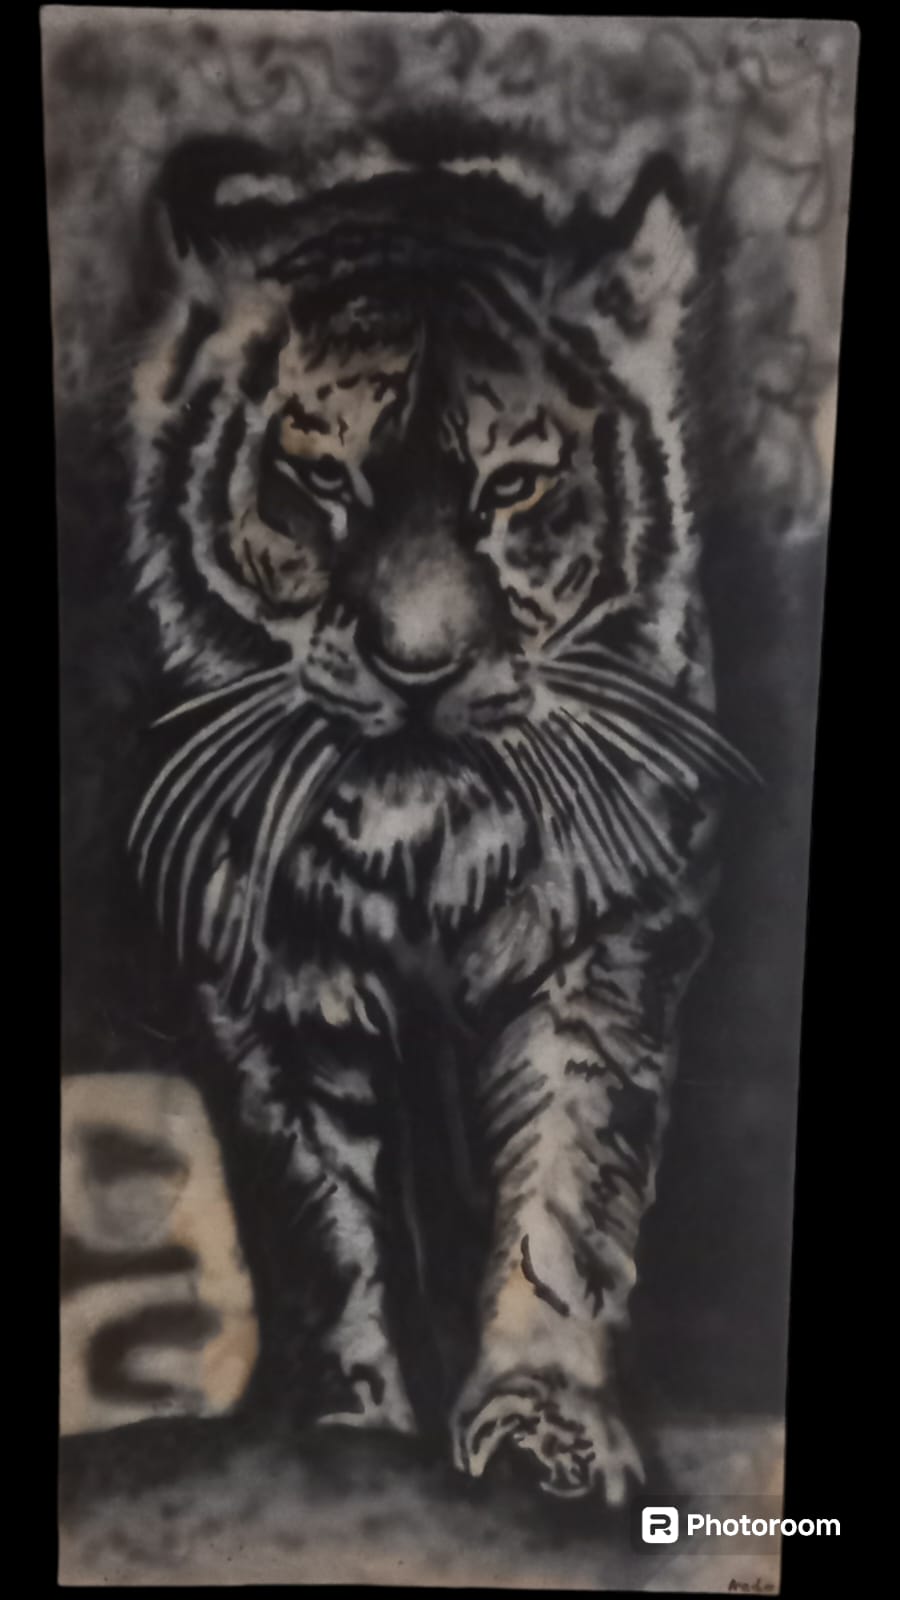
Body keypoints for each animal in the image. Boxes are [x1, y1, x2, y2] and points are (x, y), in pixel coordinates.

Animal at [124, 112, 754, 1504]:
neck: (422, 839)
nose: (416, 668)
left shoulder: (599, 942)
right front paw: (347, 1425)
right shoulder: (276, 965)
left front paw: (543, 1430)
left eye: (510, 490)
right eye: (322, 478)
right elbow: (323, 1216)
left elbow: (562, 1201)